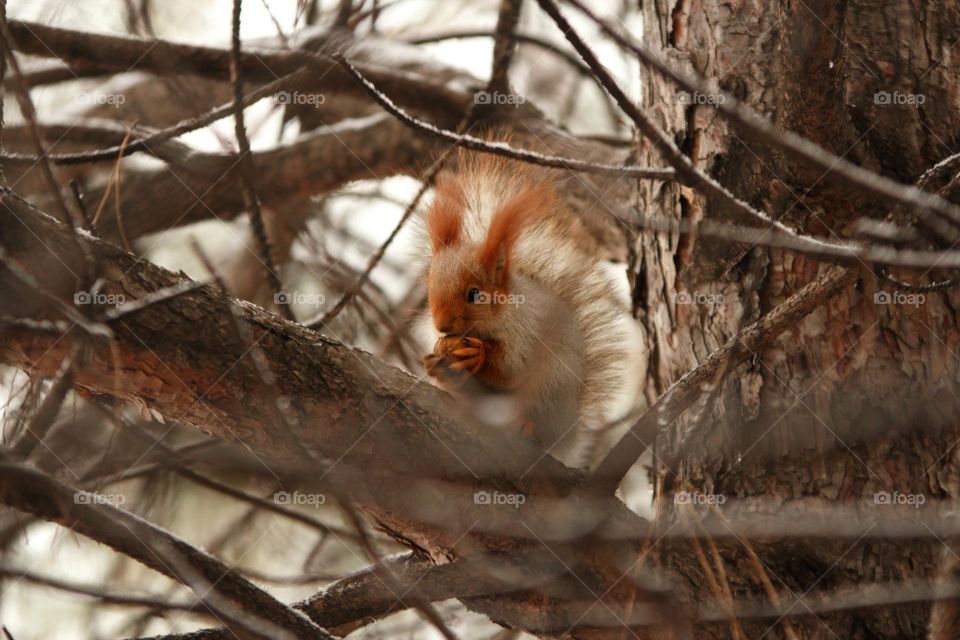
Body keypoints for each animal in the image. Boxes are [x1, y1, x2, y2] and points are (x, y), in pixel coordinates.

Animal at [421, 151, 635, 468]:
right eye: (430, 286)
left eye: (475, 294)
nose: (442, 325)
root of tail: (566, 430)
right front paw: (438, 350)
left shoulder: (525, 330)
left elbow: (510, 368)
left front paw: (478, 354)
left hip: (552, 384)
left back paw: (525, 425)